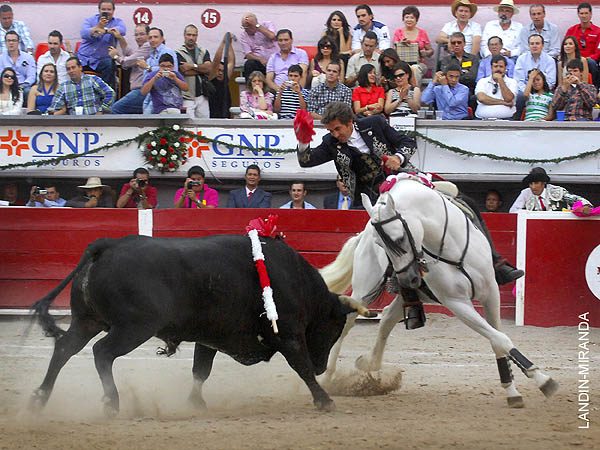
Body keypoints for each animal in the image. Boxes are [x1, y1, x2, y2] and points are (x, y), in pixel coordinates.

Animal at [31, 236, 370, 414]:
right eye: (335, 327)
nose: (322, 367)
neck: (298, 281)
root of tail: (108, 244)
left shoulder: (210, 338)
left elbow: (200, 371)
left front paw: (196, 403)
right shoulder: (288, 335)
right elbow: (300, 365)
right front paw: (325, 400)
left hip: (87, 320)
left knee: (64, 348)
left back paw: (40, 398)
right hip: (133, 327)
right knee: (102, 352)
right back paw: (112, 403)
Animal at [322, 177, 560, 408]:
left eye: (399, 239)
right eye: (379, 243)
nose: (408, 279)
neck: (447, 247)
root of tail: (361, 235)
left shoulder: (491, 293)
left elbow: (497, 339)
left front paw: (513, 390)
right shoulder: (456, 302)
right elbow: (500, 339)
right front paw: (544, 381)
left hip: (409, 296)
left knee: (387, 318)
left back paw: (368, 363)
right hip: (364, 291)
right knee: (349, 322)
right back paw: (326, 378)